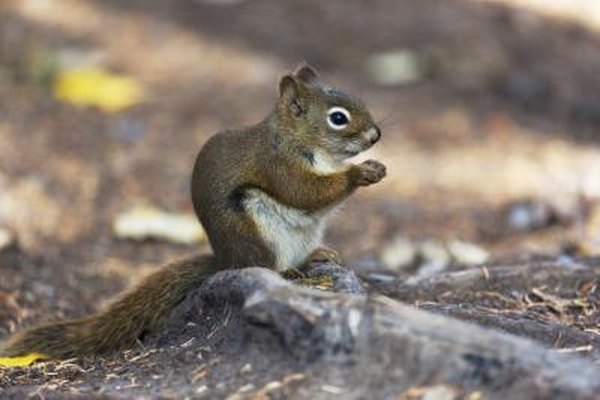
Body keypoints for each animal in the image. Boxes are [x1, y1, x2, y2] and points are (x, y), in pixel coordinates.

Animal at [0, 64, 384, 360]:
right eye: (338, 118)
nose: (376, 135)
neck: (301, 140)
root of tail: (223, 261)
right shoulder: (277, 165)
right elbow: (303, 191)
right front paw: (359, 173)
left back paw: (314, 257)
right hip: (254, 227)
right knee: (262, 265)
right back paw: (288, 273)